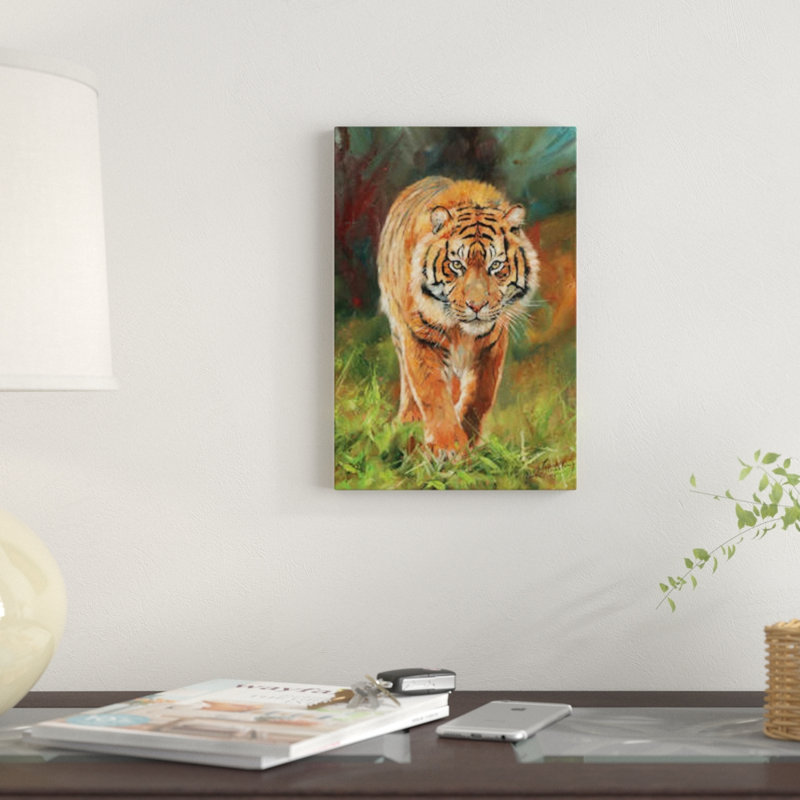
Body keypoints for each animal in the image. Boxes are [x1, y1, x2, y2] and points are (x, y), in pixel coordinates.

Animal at [377, 176, 539, 457]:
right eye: (456, 265)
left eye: (496, 265)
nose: (476, 305)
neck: (460, 330)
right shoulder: (421, 338)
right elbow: (432, 392)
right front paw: (447, 447)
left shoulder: (492, 343)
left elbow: (481, 395)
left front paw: (469, 439)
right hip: (398, 327)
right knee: (408, 380)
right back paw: (408, 420)